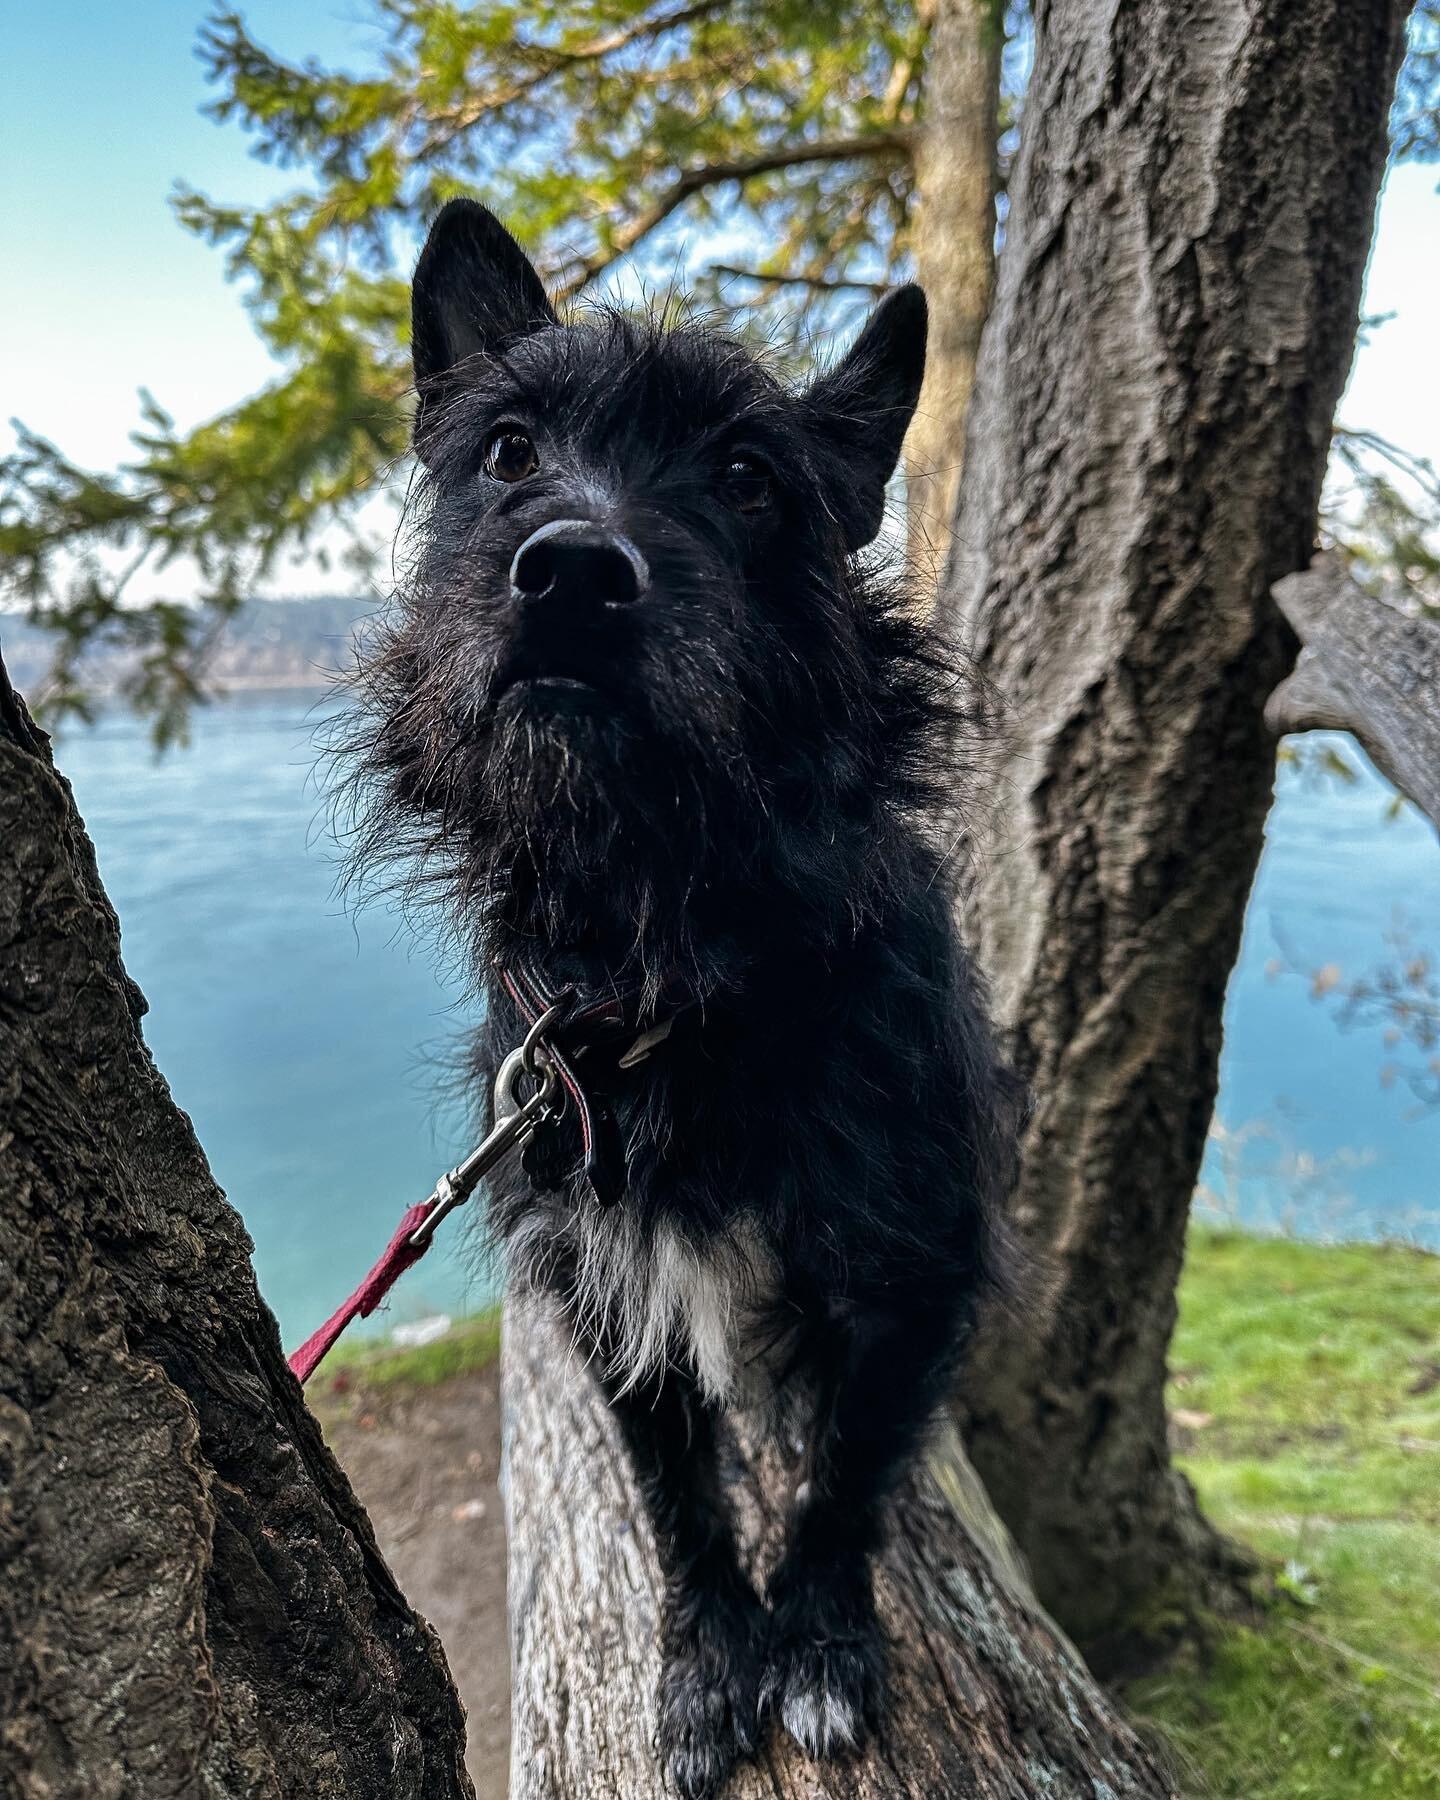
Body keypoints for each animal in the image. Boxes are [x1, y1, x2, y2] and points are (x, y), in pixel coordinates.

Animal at [347, 204, 1015, 1792]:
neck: (663, 970)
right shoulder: (612, 1294)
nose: (572, 573)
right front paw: (712, 1658)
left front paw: (819, 1644)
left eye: (748, 478)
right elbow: (679, 1500)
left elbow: (842, 1484)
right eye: (509, 451)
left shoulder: (910, 1270)